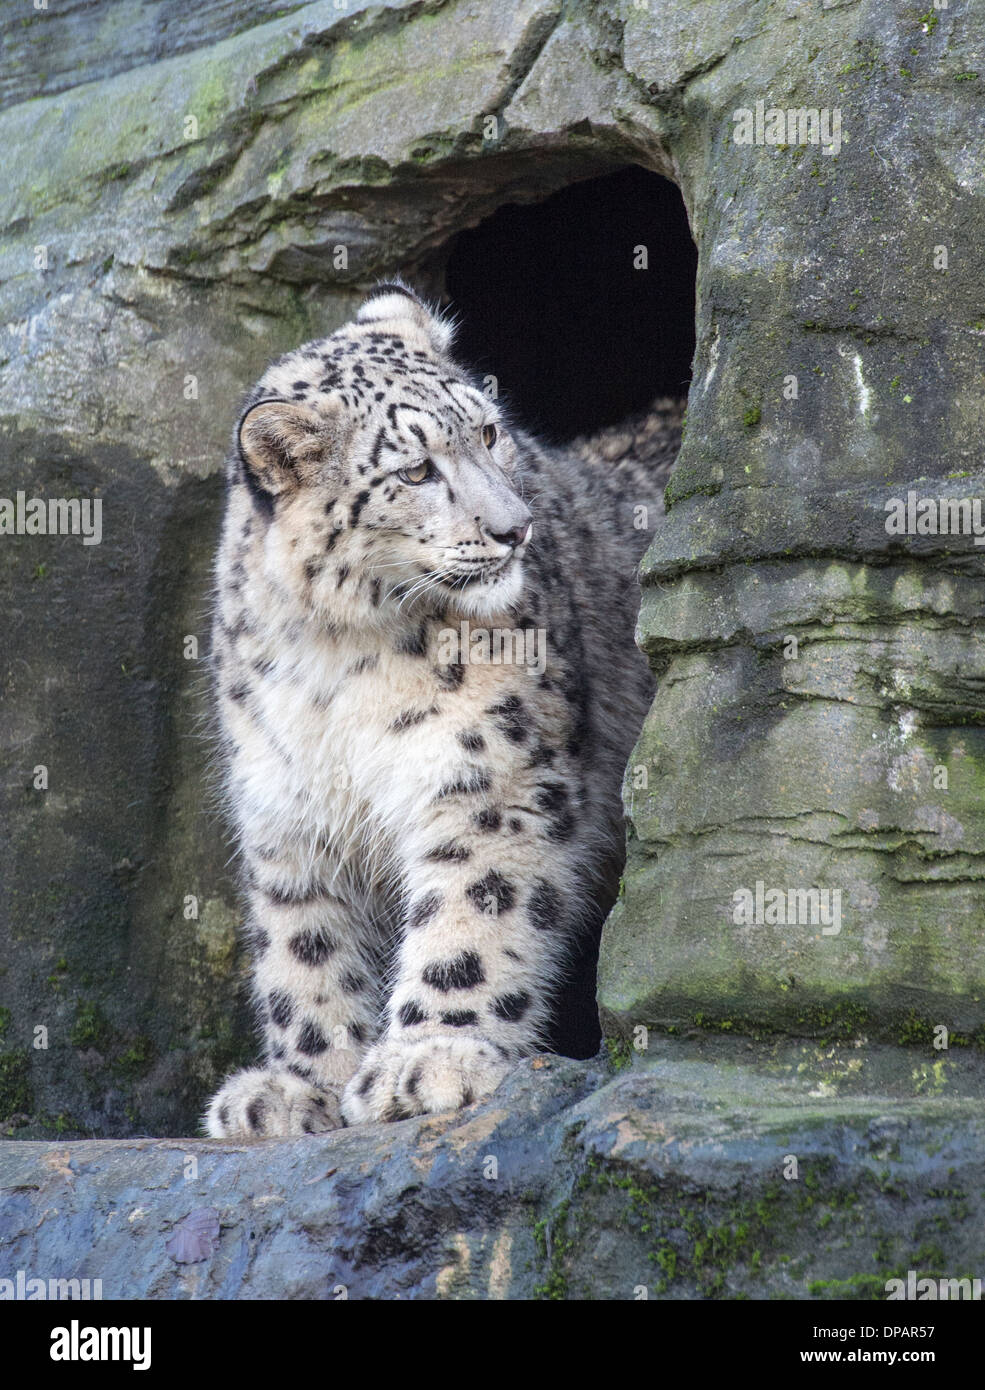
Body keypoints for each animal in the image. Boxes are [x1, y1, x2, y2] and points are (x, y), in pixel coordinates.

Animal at [204, 284, 680, 1139]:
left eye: (489, 432)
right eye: (417, 468)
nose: (512, 527)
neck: (339, 661)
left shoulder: (491, 777)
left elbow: (472, 911)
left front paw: (430, 1059)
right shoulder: (285, 808)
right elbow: (304, 943)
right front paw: (301, 1087)